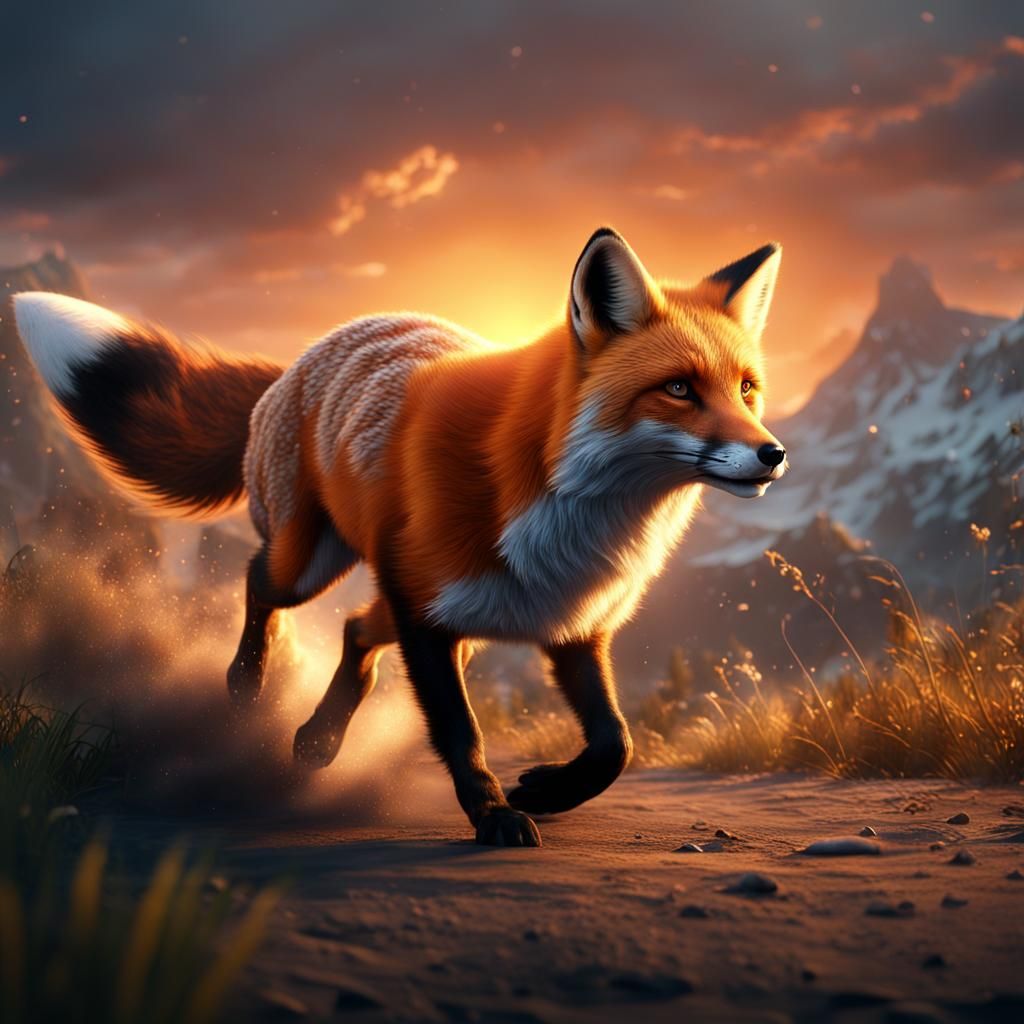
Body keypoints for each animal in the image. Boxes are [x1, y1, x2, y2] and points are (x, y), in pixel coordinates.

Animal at [14, 228, 787, 846]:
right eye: (679, 389)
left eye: (747, 389)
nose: (773, 453)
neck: (571, 519)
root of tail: (298, 360)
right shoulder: (428, 618)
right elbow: (461, 734)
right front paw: (495, 817)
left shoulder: (571, 627)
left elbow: (614, 745)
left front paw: (544, 789)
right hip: (314, 568)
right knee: (260, 583)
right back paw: (247, 683)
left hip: (449, 611)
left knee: (356, 631)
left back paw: (319, 740)